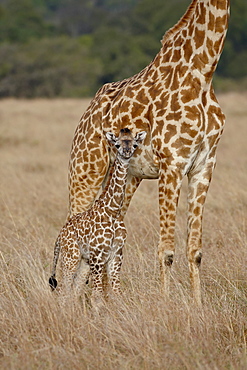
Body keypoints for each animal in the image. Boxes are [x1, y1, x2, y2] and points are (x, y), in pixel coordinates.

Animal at [48, 129, 147, 302]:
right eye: (117, 144)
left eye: (134, 144)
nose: (126, 152)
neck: (113, 211)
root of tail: (60, 236)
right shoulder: (98, 256)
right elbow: (97, 295)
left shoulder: (116, 254)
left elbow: (116, 292)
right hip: (71, 257)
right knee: (63, 290)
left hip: (83, 260)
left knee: (74, 289)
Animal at [67, 0, 230, 304]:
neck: (203, 73)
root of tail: (88, 110)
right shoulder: (172, 164)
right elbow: (166, 250)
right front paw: (166, 304)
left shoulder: (204, 166)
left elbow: (195, 250)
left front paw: (198, 306)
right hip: (85, 170)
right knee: (72, 229)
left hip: (127, 178)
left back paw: (104, 300)